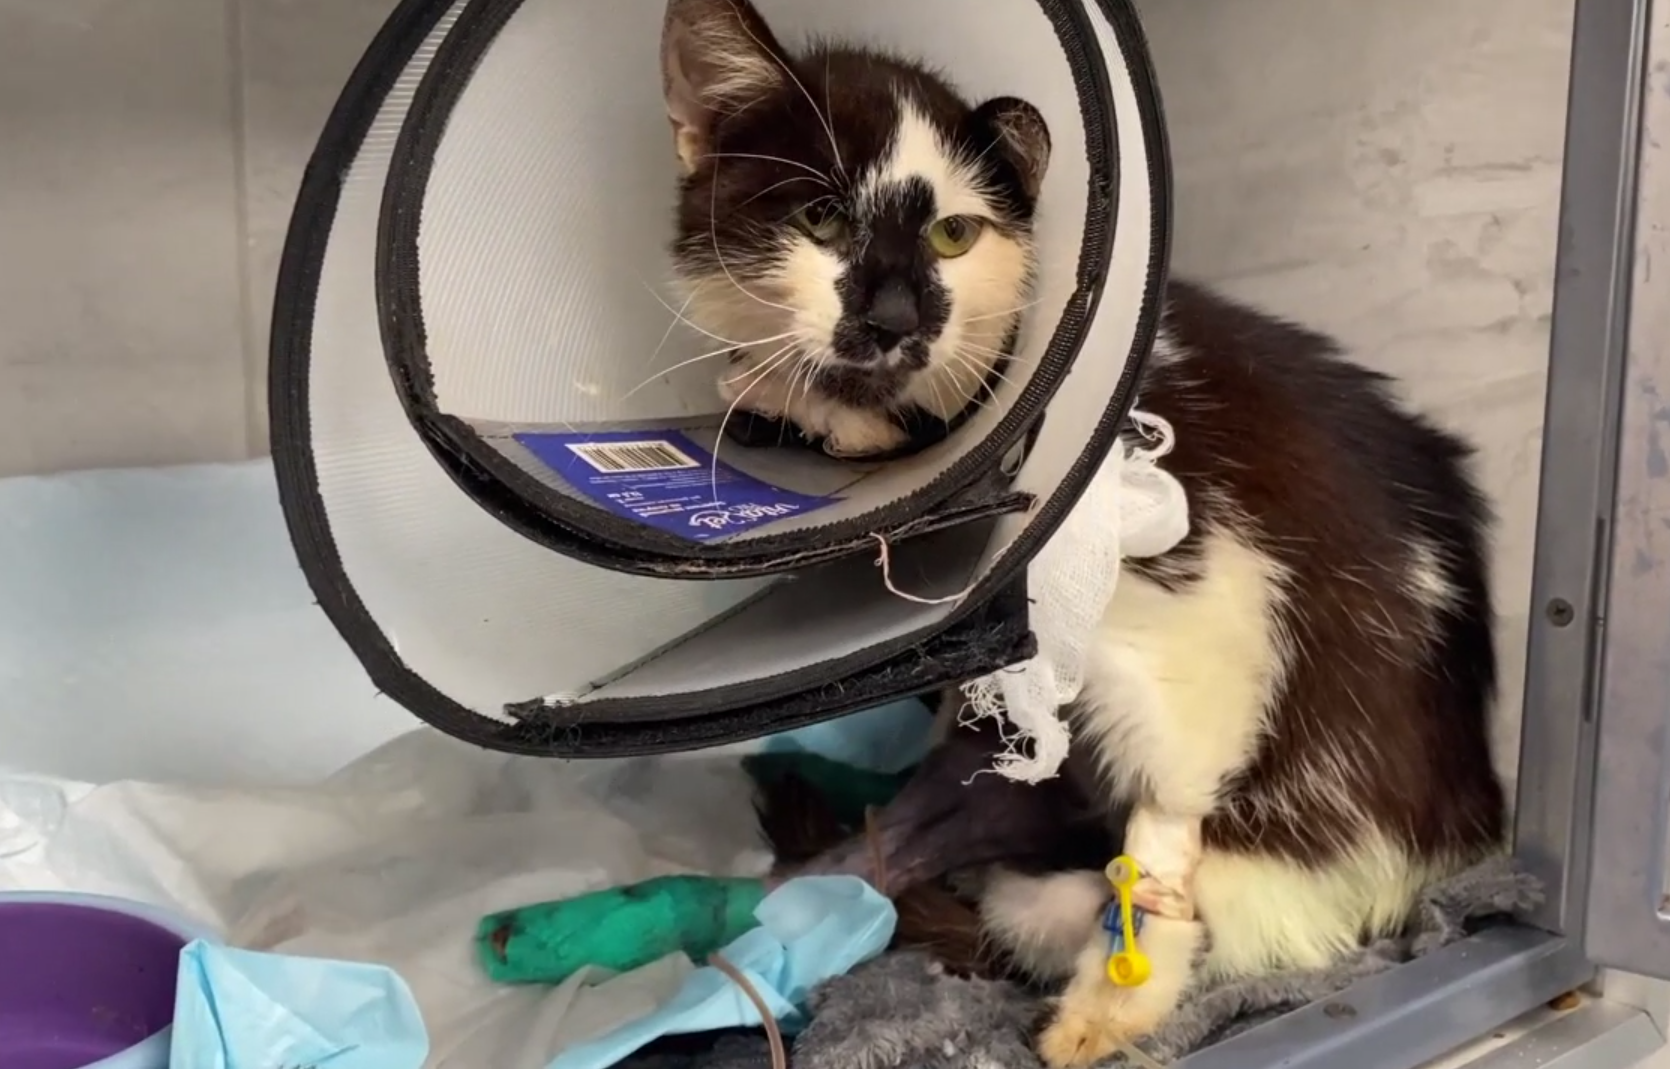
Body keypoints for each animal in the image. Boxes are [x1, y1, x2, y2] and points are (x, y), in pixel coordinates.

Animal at [657, 1, 1506, 1065]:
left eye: (954, 235)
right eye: (820, 218)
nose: (893, 318)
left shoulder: (1208, 575)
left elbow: (1174, 805)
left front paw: (1115, 998)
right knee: (935, 815)